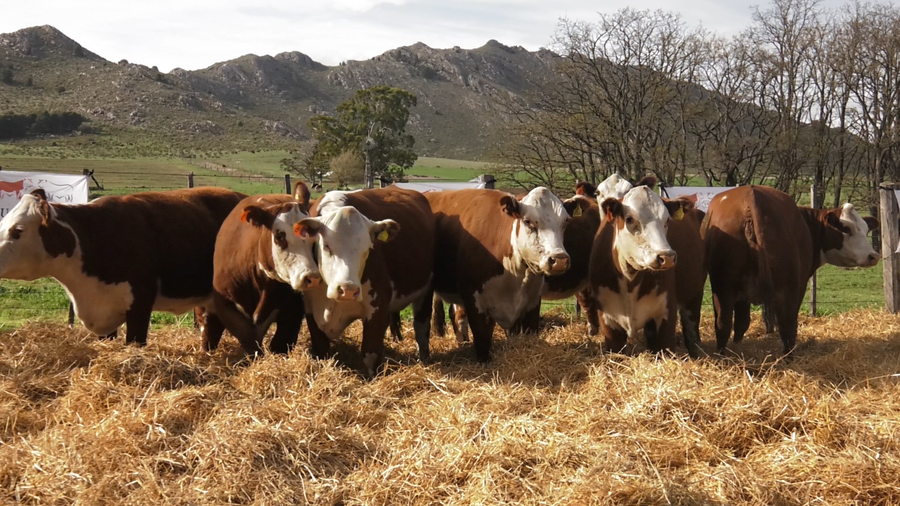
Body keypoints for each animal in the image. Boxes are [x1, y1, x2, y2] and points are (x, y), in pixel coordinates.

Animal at [205, 182, 321, 356]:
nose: (312, 277)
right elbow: (248, 339)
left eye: (314, 237)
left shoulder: (293, 309)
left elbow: (280, 342)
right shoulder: (226, 305)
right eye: (279, 236)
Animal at [296, 187, 435, 377]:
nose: (347, 289)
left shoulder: (376, 307)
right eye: (326, 246)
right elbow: (322, 351)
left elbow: (371, 354)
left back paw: (424, 358)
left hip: (426, 291)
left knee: (421, 327)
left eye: (368, 249)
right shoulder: (311, 309)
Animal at [426, 187, 577, 362]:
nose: (559, 260)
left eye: (565, 222)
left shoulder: (532, 302)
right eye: (528, 221)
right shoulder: (474, 301)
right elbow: (483, 342)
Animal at [589, 186, 692, 354]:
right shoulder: (608, 320)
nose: (667, 256)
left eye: (667, 220)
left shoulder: (666, 314)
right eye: (630, 219)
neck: (630, 281)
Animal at [702, 185, 879, 355]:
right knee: (788, 325)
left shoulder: (741, 296)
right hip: (788, 288)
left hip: (724, 287)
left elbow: (741, 323)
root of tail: (750, 197)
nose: (873, 256)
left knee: (723, 323)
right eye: (846, 228)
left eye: (866, 230)